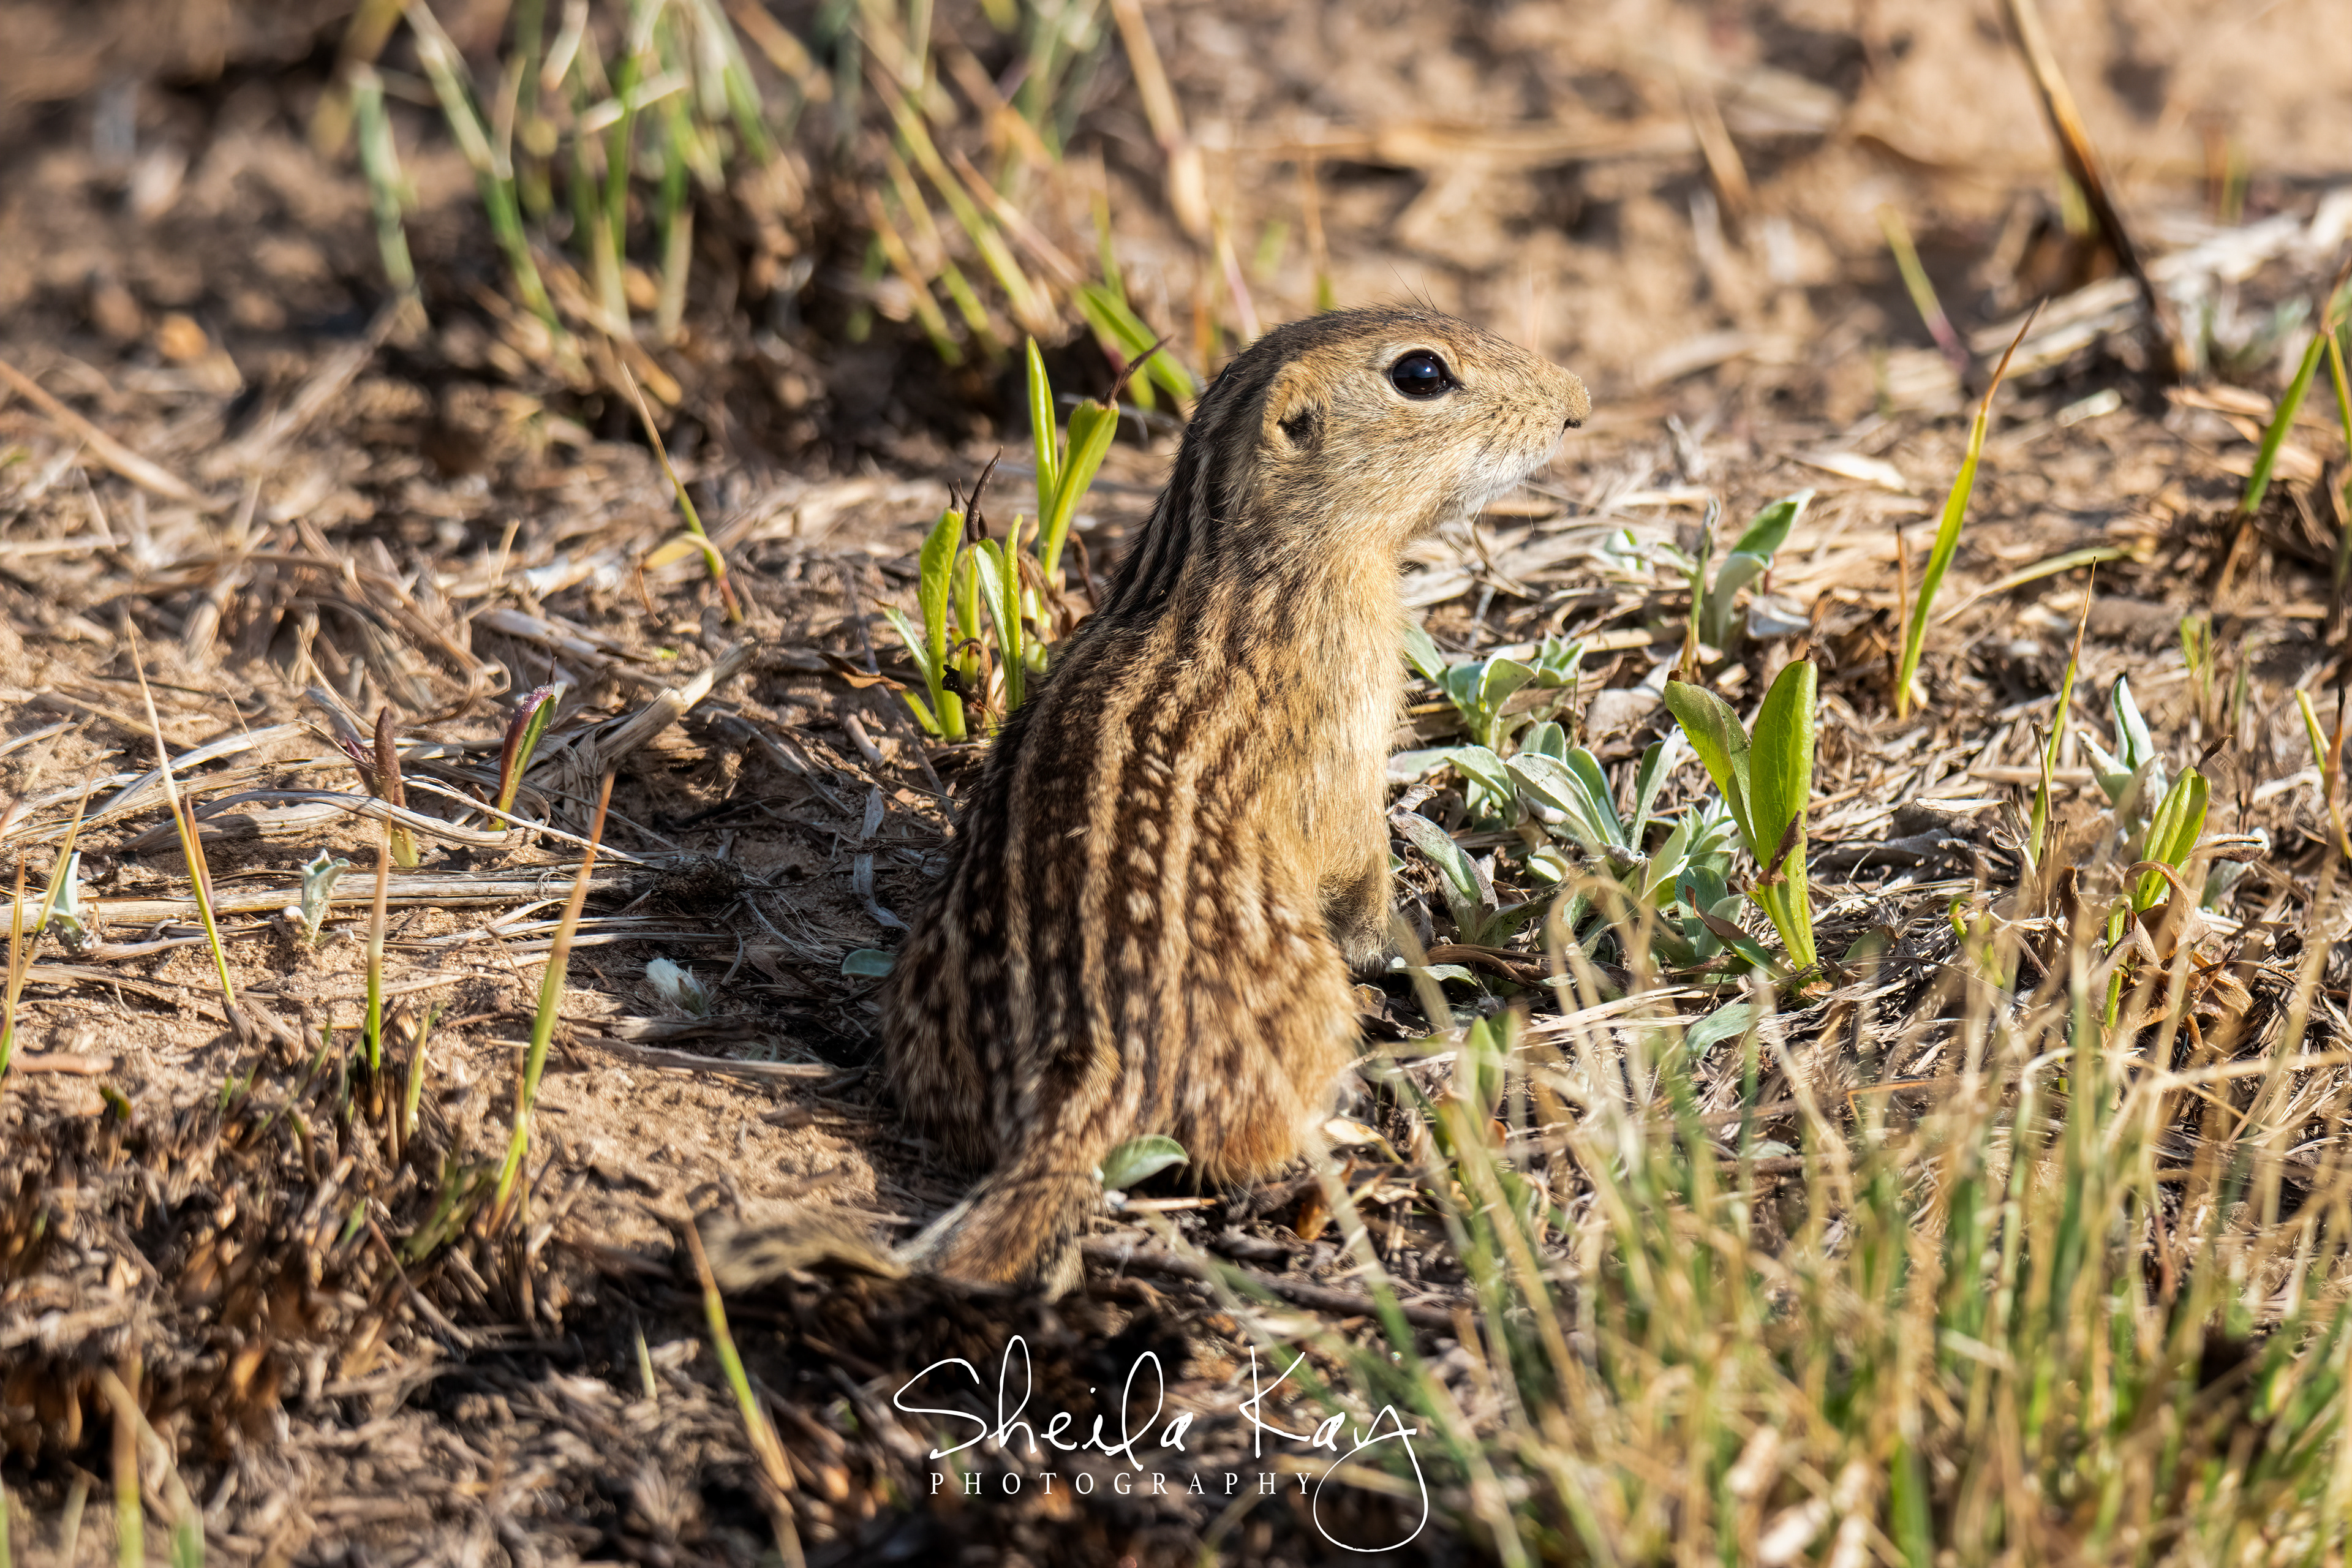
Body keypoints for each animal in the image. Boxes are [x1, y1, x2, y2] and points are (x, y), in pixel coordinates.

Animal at [882, 307, 1589, 1294]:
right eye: (1421, 374)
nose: (1577, 402)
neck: (1241, 560)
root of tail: (1085, 1070)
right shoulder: (1348, 738)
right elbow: (1365, 877)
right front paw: (1430, 942)